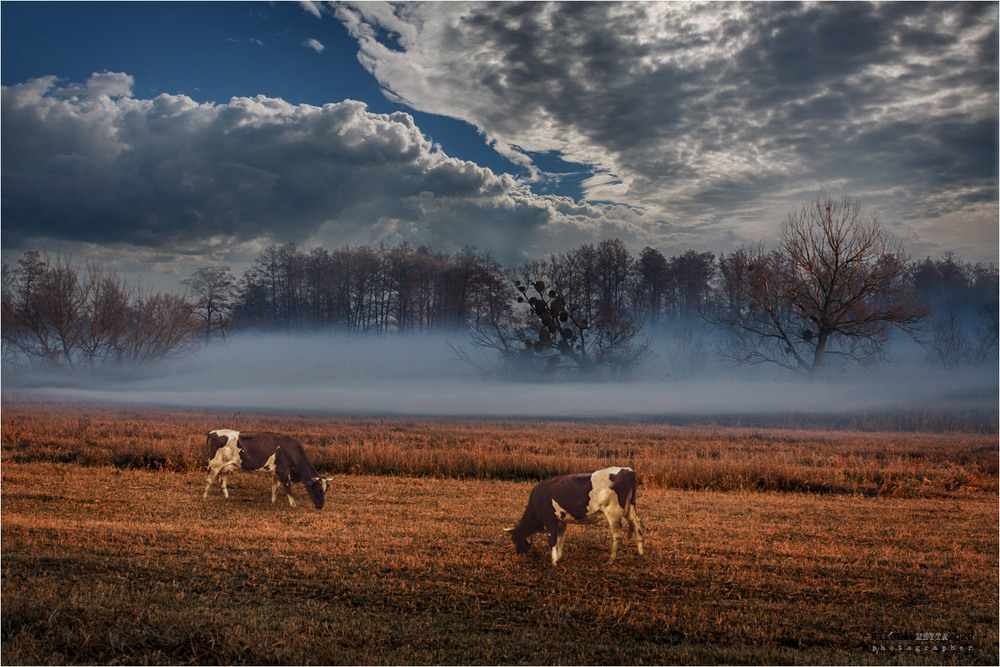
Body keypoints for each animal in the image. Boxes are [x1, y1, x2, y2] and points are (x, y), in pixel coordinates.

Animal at [202, 430, 332, 508]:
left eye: (325, 490)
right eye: (317, 489)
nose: (321, 506)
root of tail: (213, 432)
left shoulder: (276, 473)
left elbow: (275, 488)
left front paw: (273, 501)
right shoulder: (283, 472)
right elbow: (288, 488)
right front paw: (293, 504)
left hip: (226, 467)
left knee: (222, 481)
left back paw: (227, 497)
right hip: (215, 464)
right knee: (209, 480)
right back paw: (204, 497)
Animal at [504, 468, 644, 568]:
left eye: (514, 538)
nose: (519, 553)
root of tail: (628, 470)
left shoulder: (550, 520)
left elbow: (552, 540)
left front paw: (554, 562)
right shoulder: (561, 521)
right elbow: (560, 539)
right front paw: (559, 557)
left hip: (613, 513)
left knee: (617, 536)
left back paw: (610, 561)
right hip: (630, 511)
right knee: (638, 527)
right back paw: (641, 554)